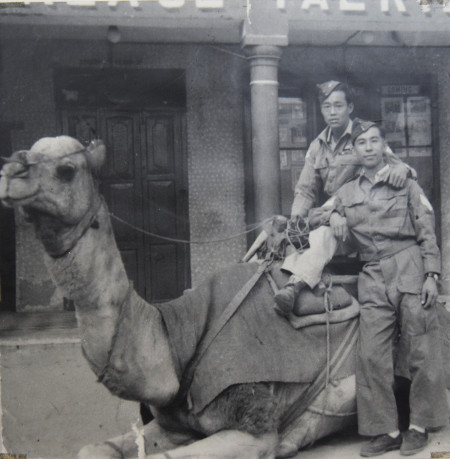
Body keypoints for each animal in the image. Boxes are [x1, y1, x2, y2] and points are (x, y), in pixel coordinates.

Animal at [0, 137, 360, 459]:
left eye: (67, 169)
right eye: (30, 150)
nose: (12, 170)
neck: (177, 343)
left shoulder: (253, 425)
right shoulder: (172, 425)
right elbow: (94, 449)